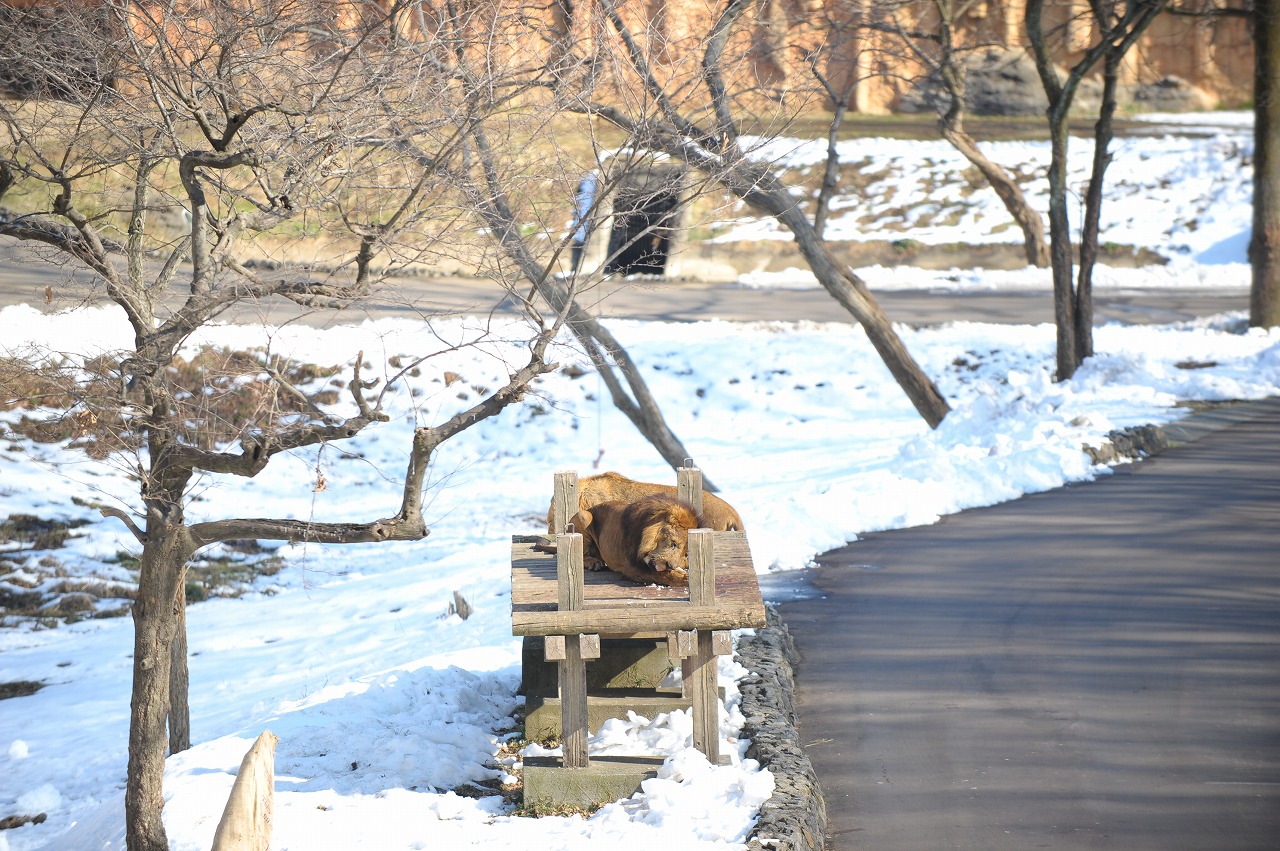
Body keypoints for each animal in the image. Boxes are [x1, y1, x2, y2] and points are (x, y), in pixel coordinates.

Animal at [573, 493, 711, 588]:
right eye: (673, 543)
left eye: (686, 554)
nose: (670, 566)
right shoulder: (632, 568)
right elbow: (662, 574)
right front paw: (684, 578)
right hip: (583, 516)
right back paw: (594, 562)